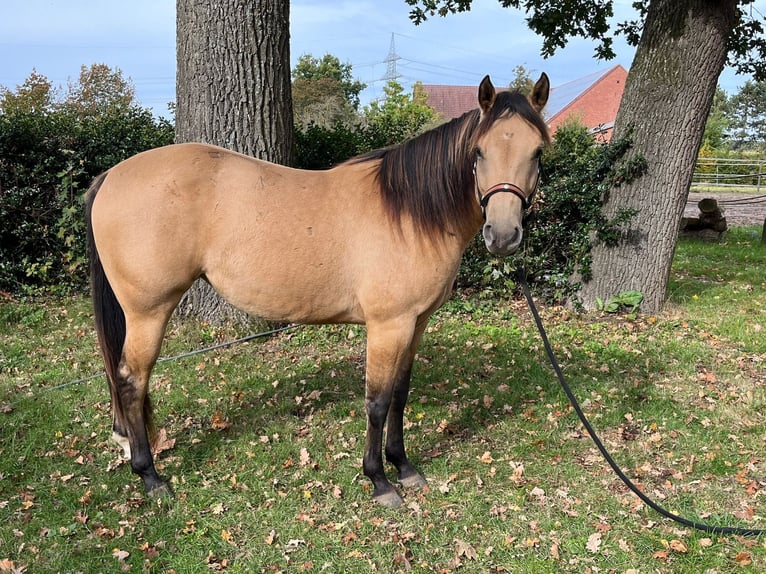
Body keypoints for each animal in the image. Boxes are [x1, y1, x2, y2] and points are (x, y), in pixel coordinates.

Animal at [87, 74, 548, 510]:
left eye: (538, 152)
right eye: (478, 152)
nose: (502, 236)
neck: (408, 212)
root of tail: (111, 176)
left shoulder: (415, 324)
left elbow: (400, 394)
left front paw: (404, 467)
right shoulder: (388, 326)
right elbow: (377, 402)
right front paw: (379, 481)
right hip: (148, 312)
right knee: (130, 380)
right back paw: (150, 476)